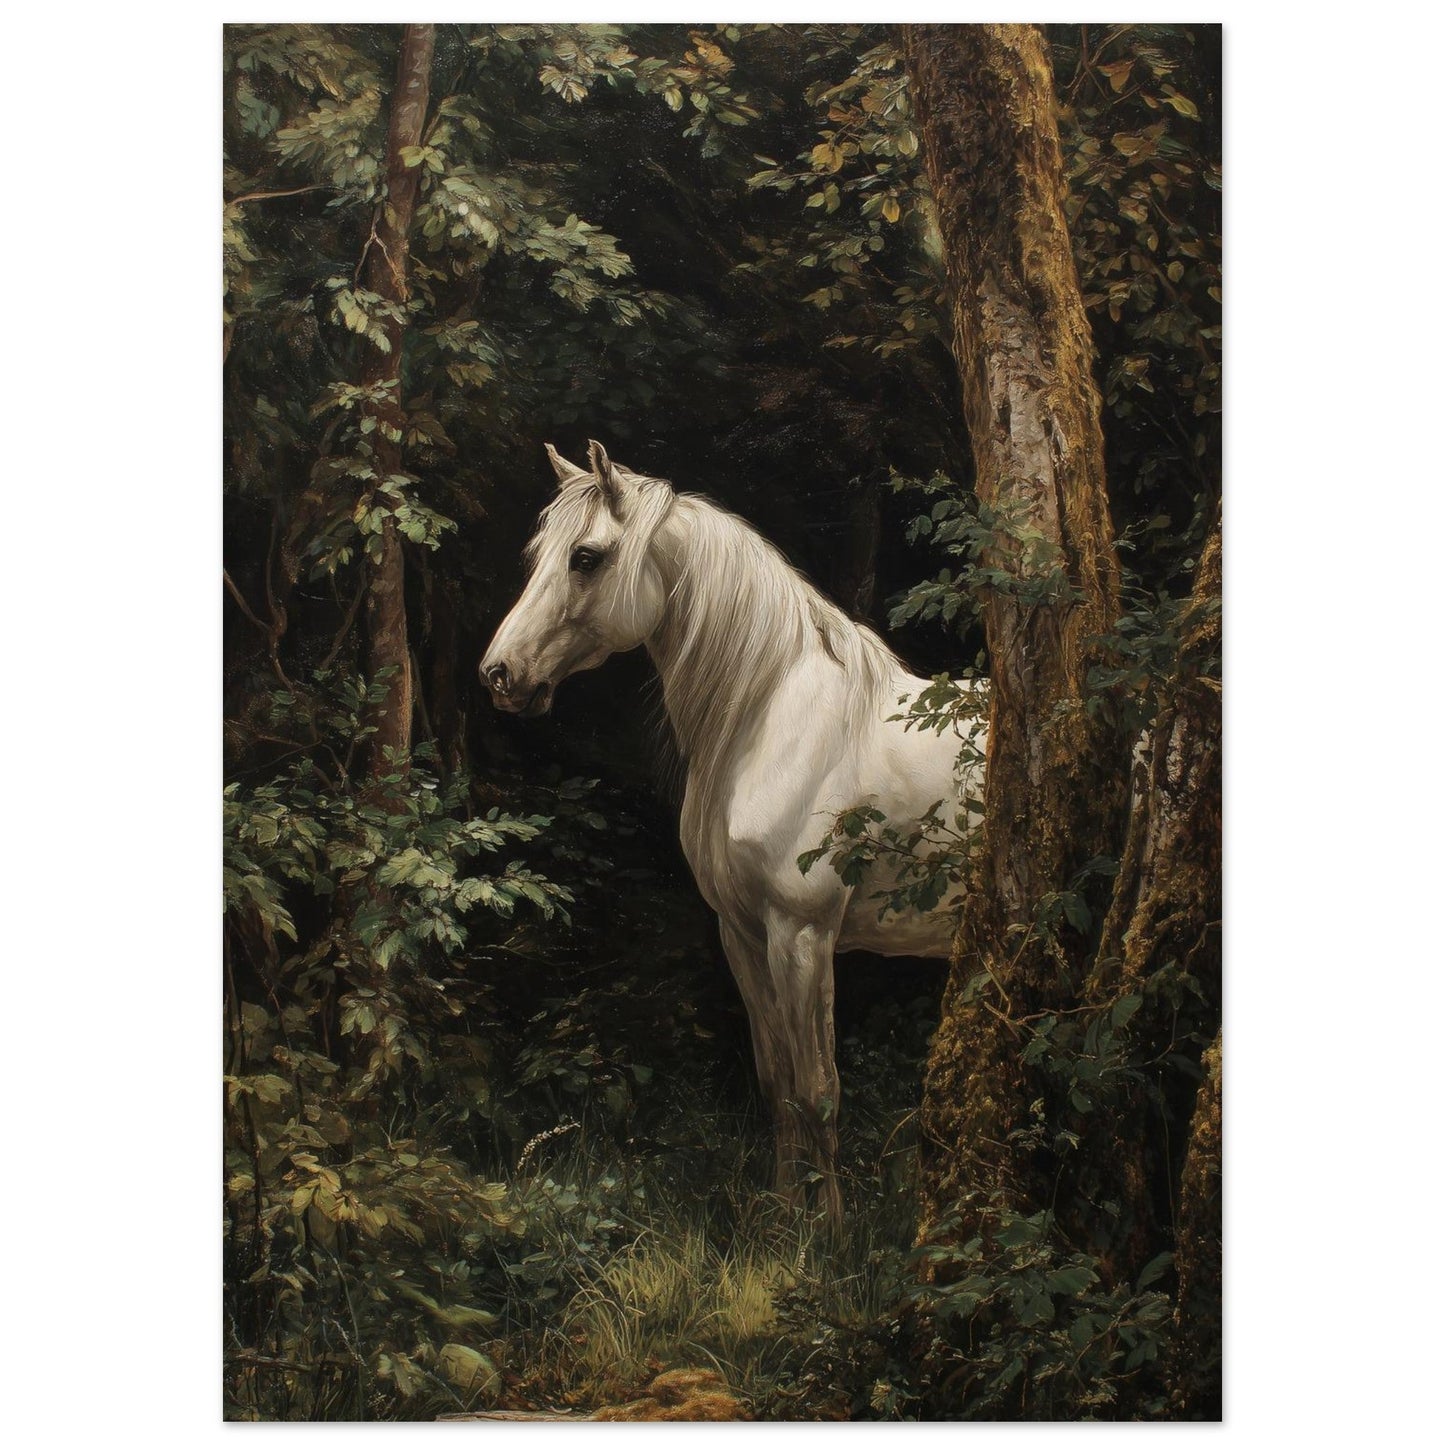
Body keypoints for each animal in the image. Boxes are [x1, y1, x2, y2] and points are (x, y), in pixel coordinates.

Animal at [480, 441, 984, 1214]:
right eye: (538, 554)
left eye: (586, 557)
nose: (499, 674)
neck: (772, 719)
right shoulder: (741, 933)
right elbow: (777, 1085)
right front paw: (779, 1216)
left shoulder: (802, 935)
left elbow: (819, 1091)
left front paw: (827, 1232)